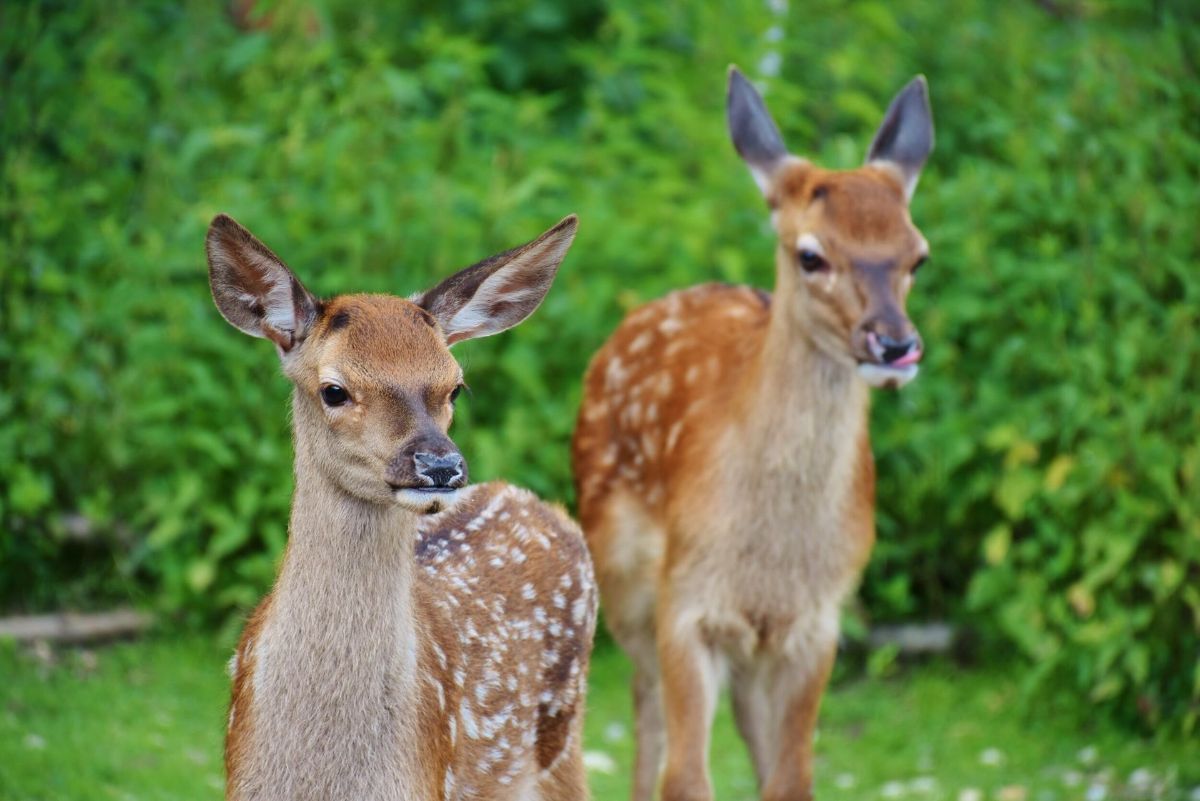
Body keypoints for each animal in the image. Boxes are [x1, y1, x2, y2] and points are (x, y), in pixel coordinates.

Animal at [571, 67, 935, 801]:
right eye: (811, 255)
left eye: (918, 256)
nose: (894, 344)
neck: (770, 555)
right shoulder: (687, 602)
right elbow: (685, 776)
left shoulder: (817, 620)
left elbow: (792, 776)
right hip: (622, 576)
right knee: (647, 711)